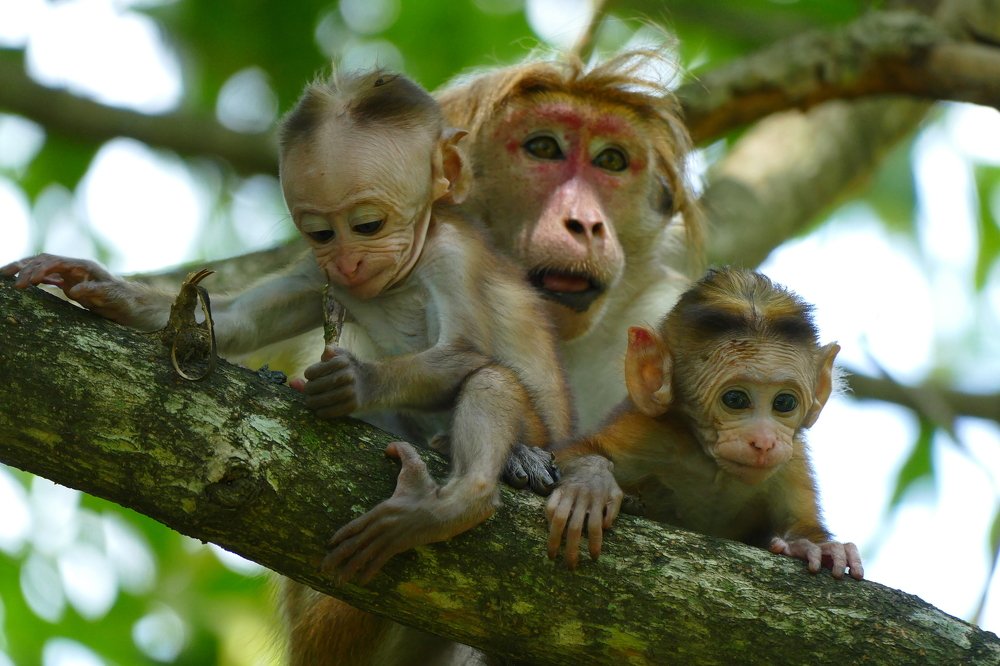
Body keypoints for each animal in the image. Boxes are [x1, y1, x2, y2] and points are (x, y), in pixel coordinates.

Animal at [546, 267, 864, 581]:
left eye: (784, 402)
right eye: (735, 399)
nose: (764, 441)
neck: (714, 469)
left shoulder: (791, 459)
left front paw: (813, 545)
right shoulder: (651, 432)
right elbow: (565, 453)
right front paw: (588, 483)